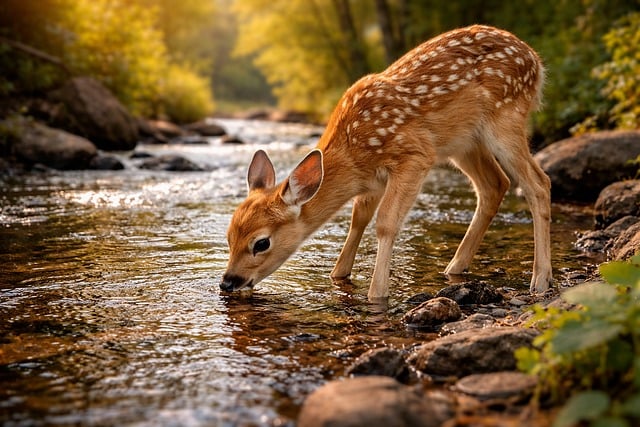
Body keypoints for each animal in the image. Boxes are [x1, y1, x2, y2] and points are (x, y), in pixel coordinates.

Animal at [220, 24, 552, 301]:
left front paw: (377, 293)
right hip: (464, 143)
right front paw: (339, 275)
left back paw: (540, 280)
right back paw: (455, 267)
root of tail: (536, 60)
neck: (353, 153)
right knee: (495, 185)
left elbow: (386, 222)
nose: (228, 281)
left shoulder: (415, 155)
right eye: (229, 236)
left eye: (261, 243)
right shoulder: (373, 180)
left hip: (505, 118)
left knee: (538, 183)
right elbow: (359, 219)